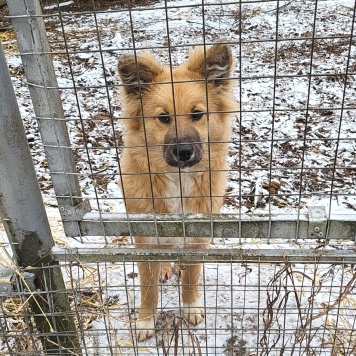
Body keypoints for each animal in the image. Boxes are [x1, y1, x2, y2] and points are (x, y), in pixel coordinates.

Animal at [117, 41, 238, 342]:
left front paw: (191, 307)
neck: (178, 181)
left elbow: (192, 277)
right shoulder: (146, 241)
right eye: (163, 118)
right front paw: (146, 321)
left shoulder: (198, 236)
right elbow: (148, 289)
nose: (183, 152)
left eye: (197, 114)